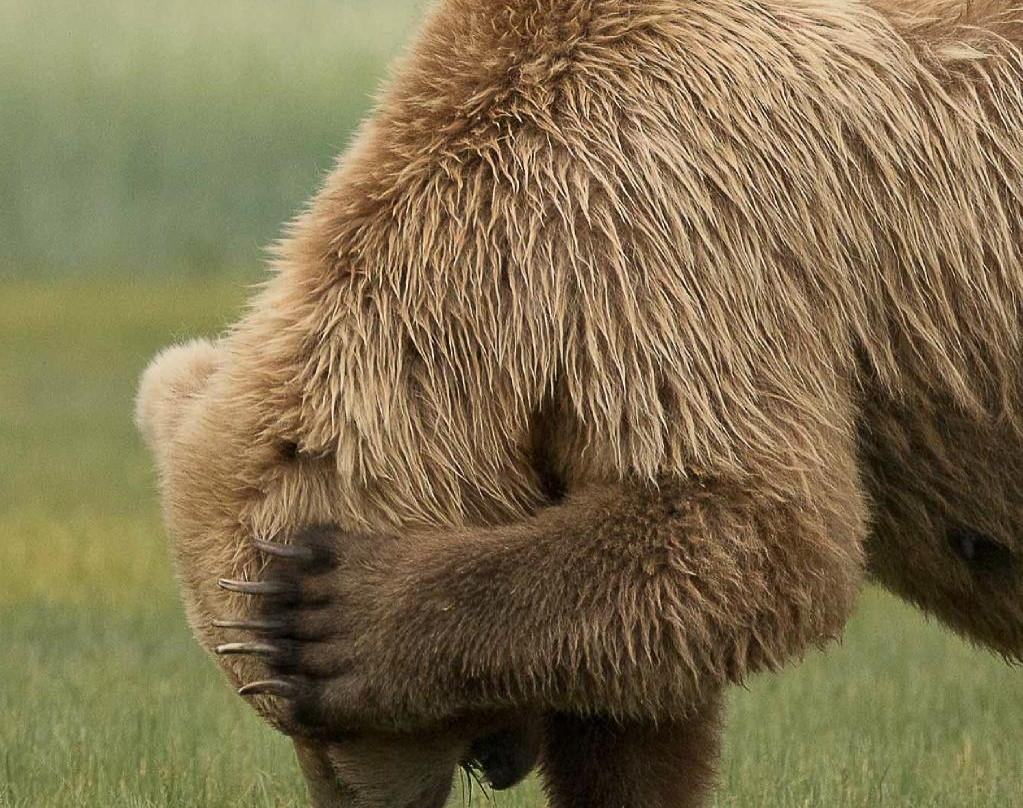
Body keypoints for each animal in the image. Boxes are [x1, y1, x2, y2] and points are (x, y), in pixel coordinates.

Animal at [136, 0, 1023, 805]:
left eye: (307, 714)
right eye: (273, 716)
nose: (353, 800)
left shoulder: (674, 240)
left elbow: (749, 525)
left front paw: (340, 609)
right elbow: (640, 698)